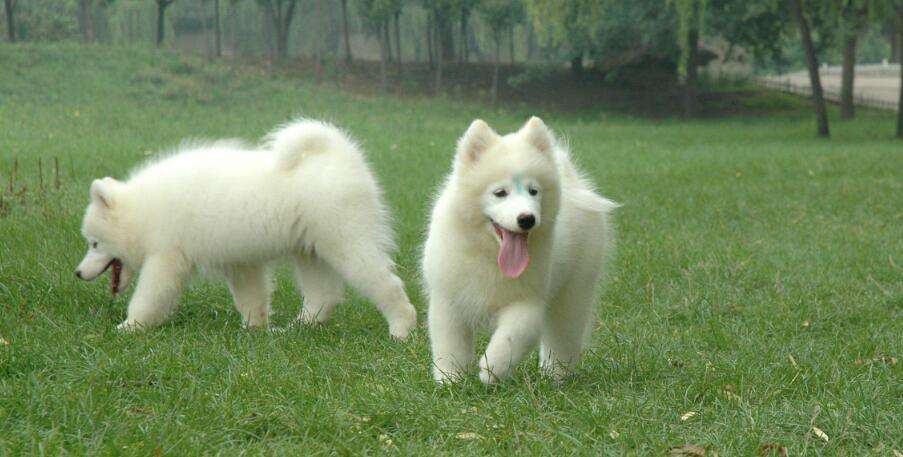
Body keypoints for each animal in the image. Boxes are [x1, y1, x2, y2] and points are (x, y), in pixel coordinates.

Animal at [75, 118, 420, 338]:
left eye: (94, 243)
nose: (77, 273)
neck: (144, 212)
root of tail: (342, 156)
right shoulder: (242, 263)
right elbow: (252, 298)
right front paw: (255, 330)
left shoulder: (166, 259)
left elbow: (148, 298)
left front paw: (129, 327)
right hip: (311, 252)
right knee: (324, 295)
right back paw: (299, 328)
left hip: (347, 242)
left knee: (386, 284)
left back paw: (401, 329)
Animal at [422, 117, 616, 382]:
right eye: (500, 193)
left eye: (534, 191)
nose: (527, 219)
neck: (490, 255)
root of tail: (574, 183)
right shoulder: (449, 300)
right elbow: (450, 347)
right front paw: (450, 380)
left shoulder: (528, 302)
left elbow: (511, 337)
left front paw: (491, 369)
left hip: (574, 291)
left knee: (563, 336)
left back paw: (554, 375)